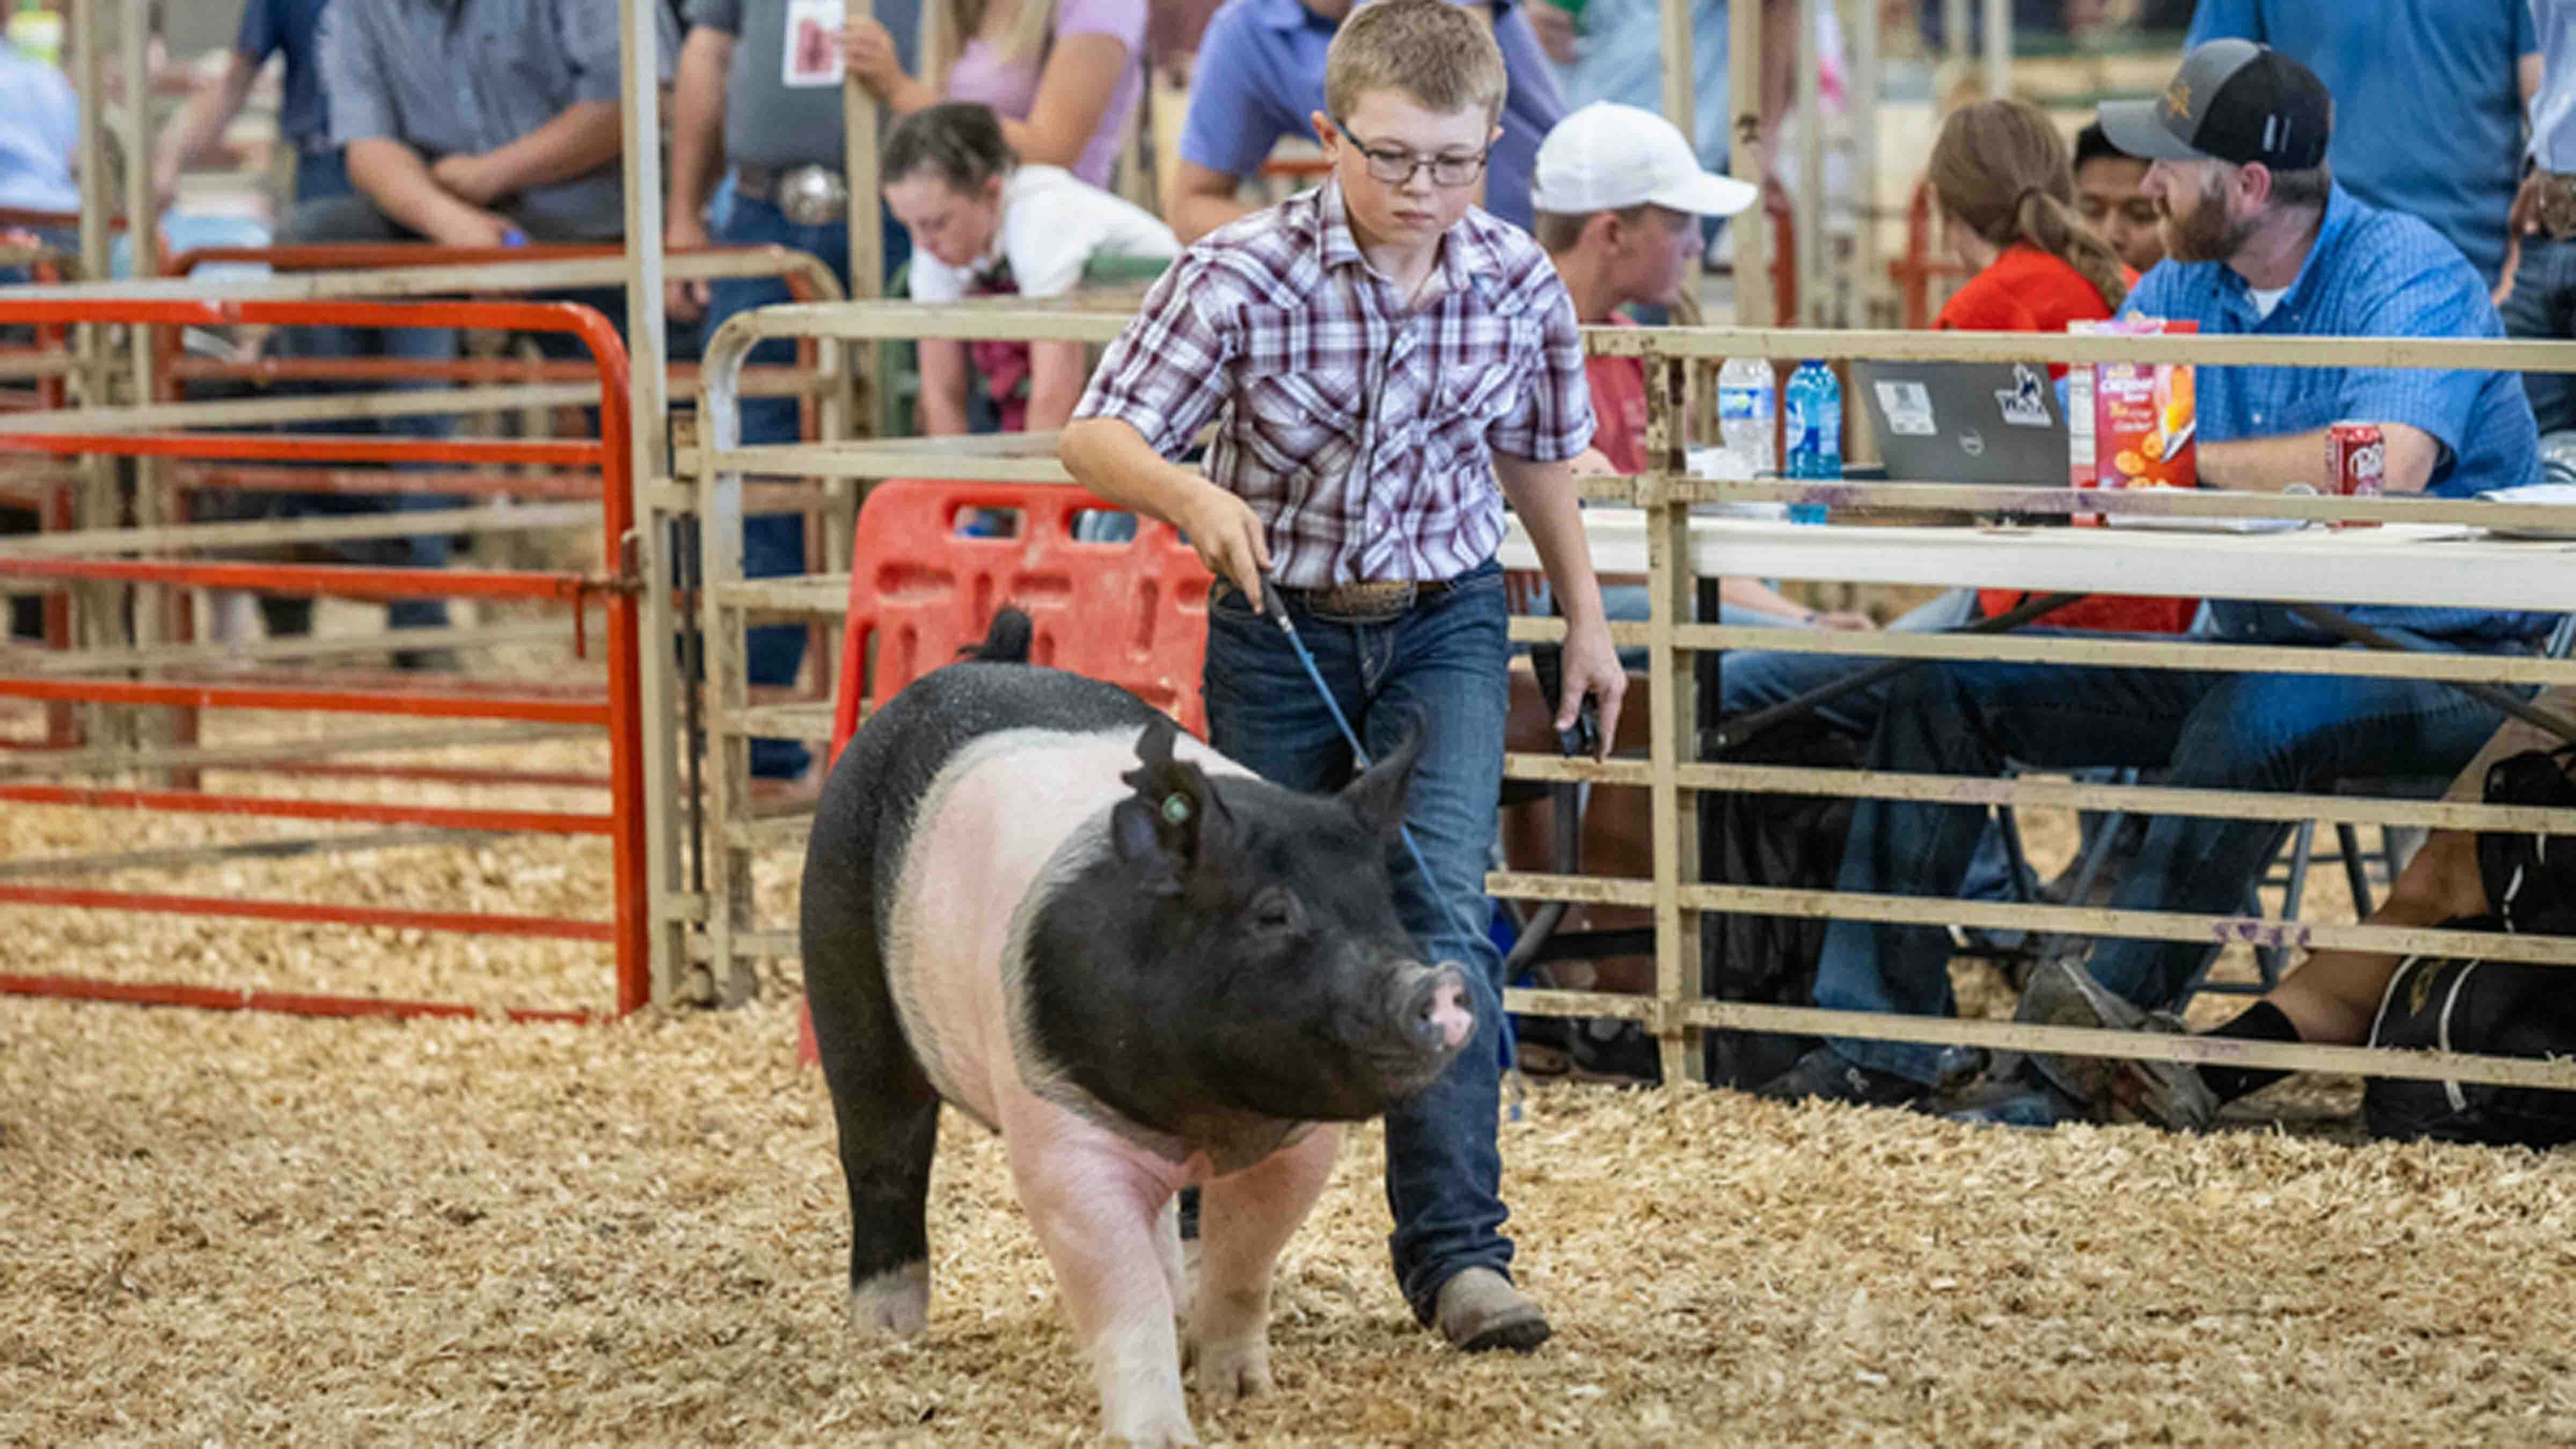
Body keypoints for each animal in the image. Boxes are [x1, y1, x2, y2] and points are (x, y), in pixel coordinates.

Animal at [799, 603, 1473, 1433]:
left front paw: (1239, 1391)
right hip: (843, 968)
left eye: (1385, 906)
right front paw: (1161, 1435)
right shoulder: (1060, 1136)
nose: (1436, 985)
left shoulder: (1299, 1144)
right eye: (1272, 914)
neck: (1206, 1113)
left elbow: (1245, 1262)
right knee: (882, 1151)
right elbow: (1125, 1299)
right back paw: (888, 1333)